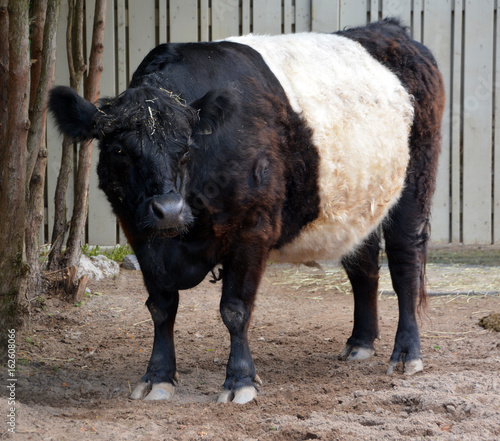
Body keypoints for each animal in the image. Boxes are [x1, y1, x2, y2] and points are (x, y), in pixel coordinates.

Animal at [48, 18, 444, 402]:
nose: (169, 210)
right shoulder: (139, 233)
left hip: (414, 186)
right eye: (119, 151)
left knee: (405, 265)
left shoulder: (252, 229)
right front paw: (157, 377)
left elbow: (235, 310)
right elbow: (160, 306)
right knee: (364, 266)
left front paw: (239, 381)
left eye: (187, 147)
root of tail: (387, 29)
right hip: (359, 203)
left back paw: (406, 353)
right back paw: (360, 343)